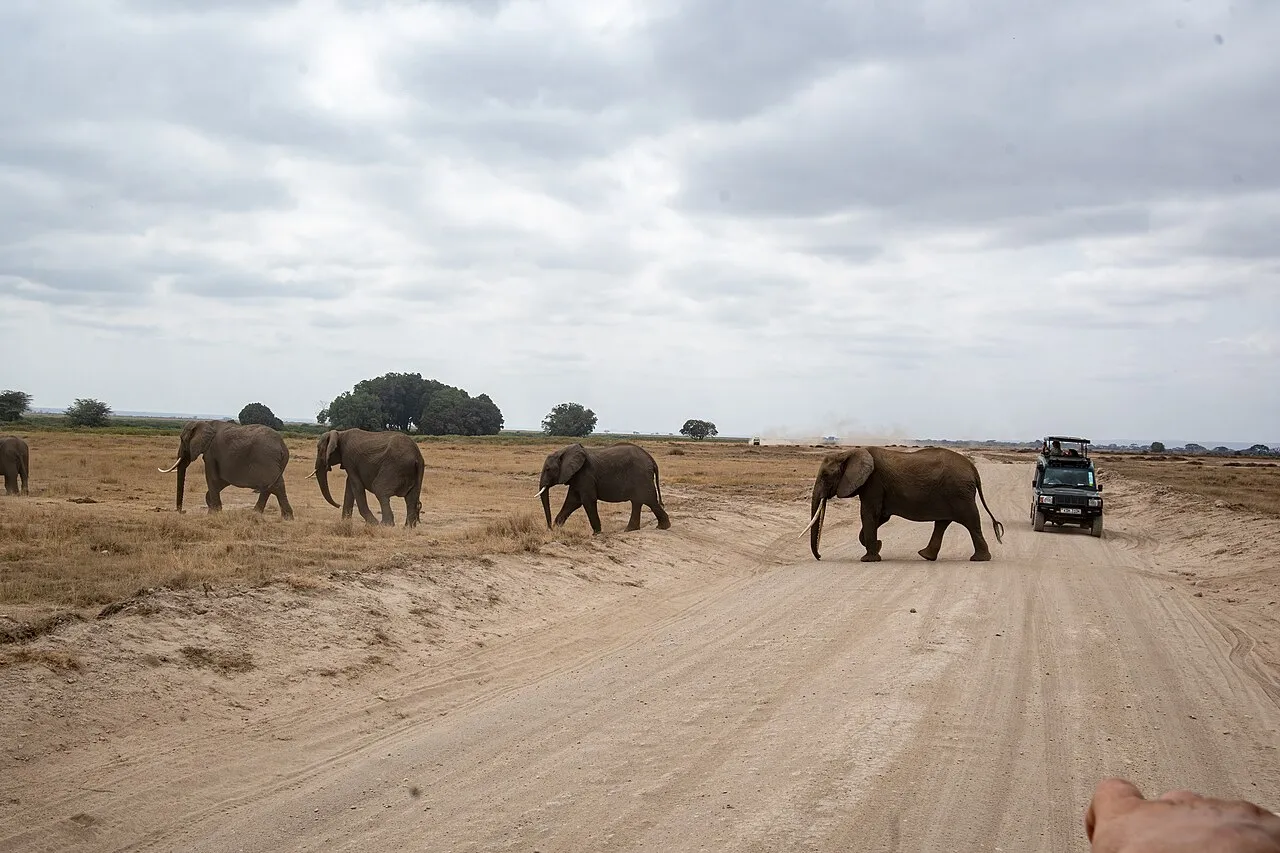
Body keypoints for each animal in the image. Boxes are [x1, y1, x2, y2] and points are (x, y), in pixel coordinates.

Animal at [158, 420, 294, 519]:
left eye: (182, 439)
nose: (183, 512)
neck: (204, 422)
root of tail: (282, 446)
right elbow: (221, 481)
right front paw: (212, 509)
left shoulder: (210, 453)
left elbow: (212, 478)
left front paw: (214, 513)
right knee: (272, 485)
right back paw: (265, 515)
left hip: (265, 458)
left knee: (273, 486)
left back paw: (280, 517)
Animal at [537, 442, 671, 534]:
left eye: (548, 469)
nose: (550, 529)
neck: (564, 451)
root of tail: (652, 460)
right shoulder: (577, 477)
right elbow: (573, 501)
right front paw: (557, 528)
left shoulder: (586, 475)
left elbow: (587, 501)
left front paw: (596, 533)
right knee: (638, 501)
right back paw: (630, 530)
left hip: (641, 476)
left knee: (649, 500)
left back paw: (662, 527)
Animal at [805, 446, 1005, 562]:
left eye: (825, 475)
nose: (820, 557)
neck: (849, 452)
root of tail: (973, 468)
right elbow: (880, 517)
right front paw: (877, 546)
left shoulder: (873, 483)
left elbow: (869, 514)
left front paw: (869, 558)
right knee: (942, 522)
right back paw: (926, 556)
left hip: (959, 493)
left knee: (970, 521)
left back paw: (980, 559)